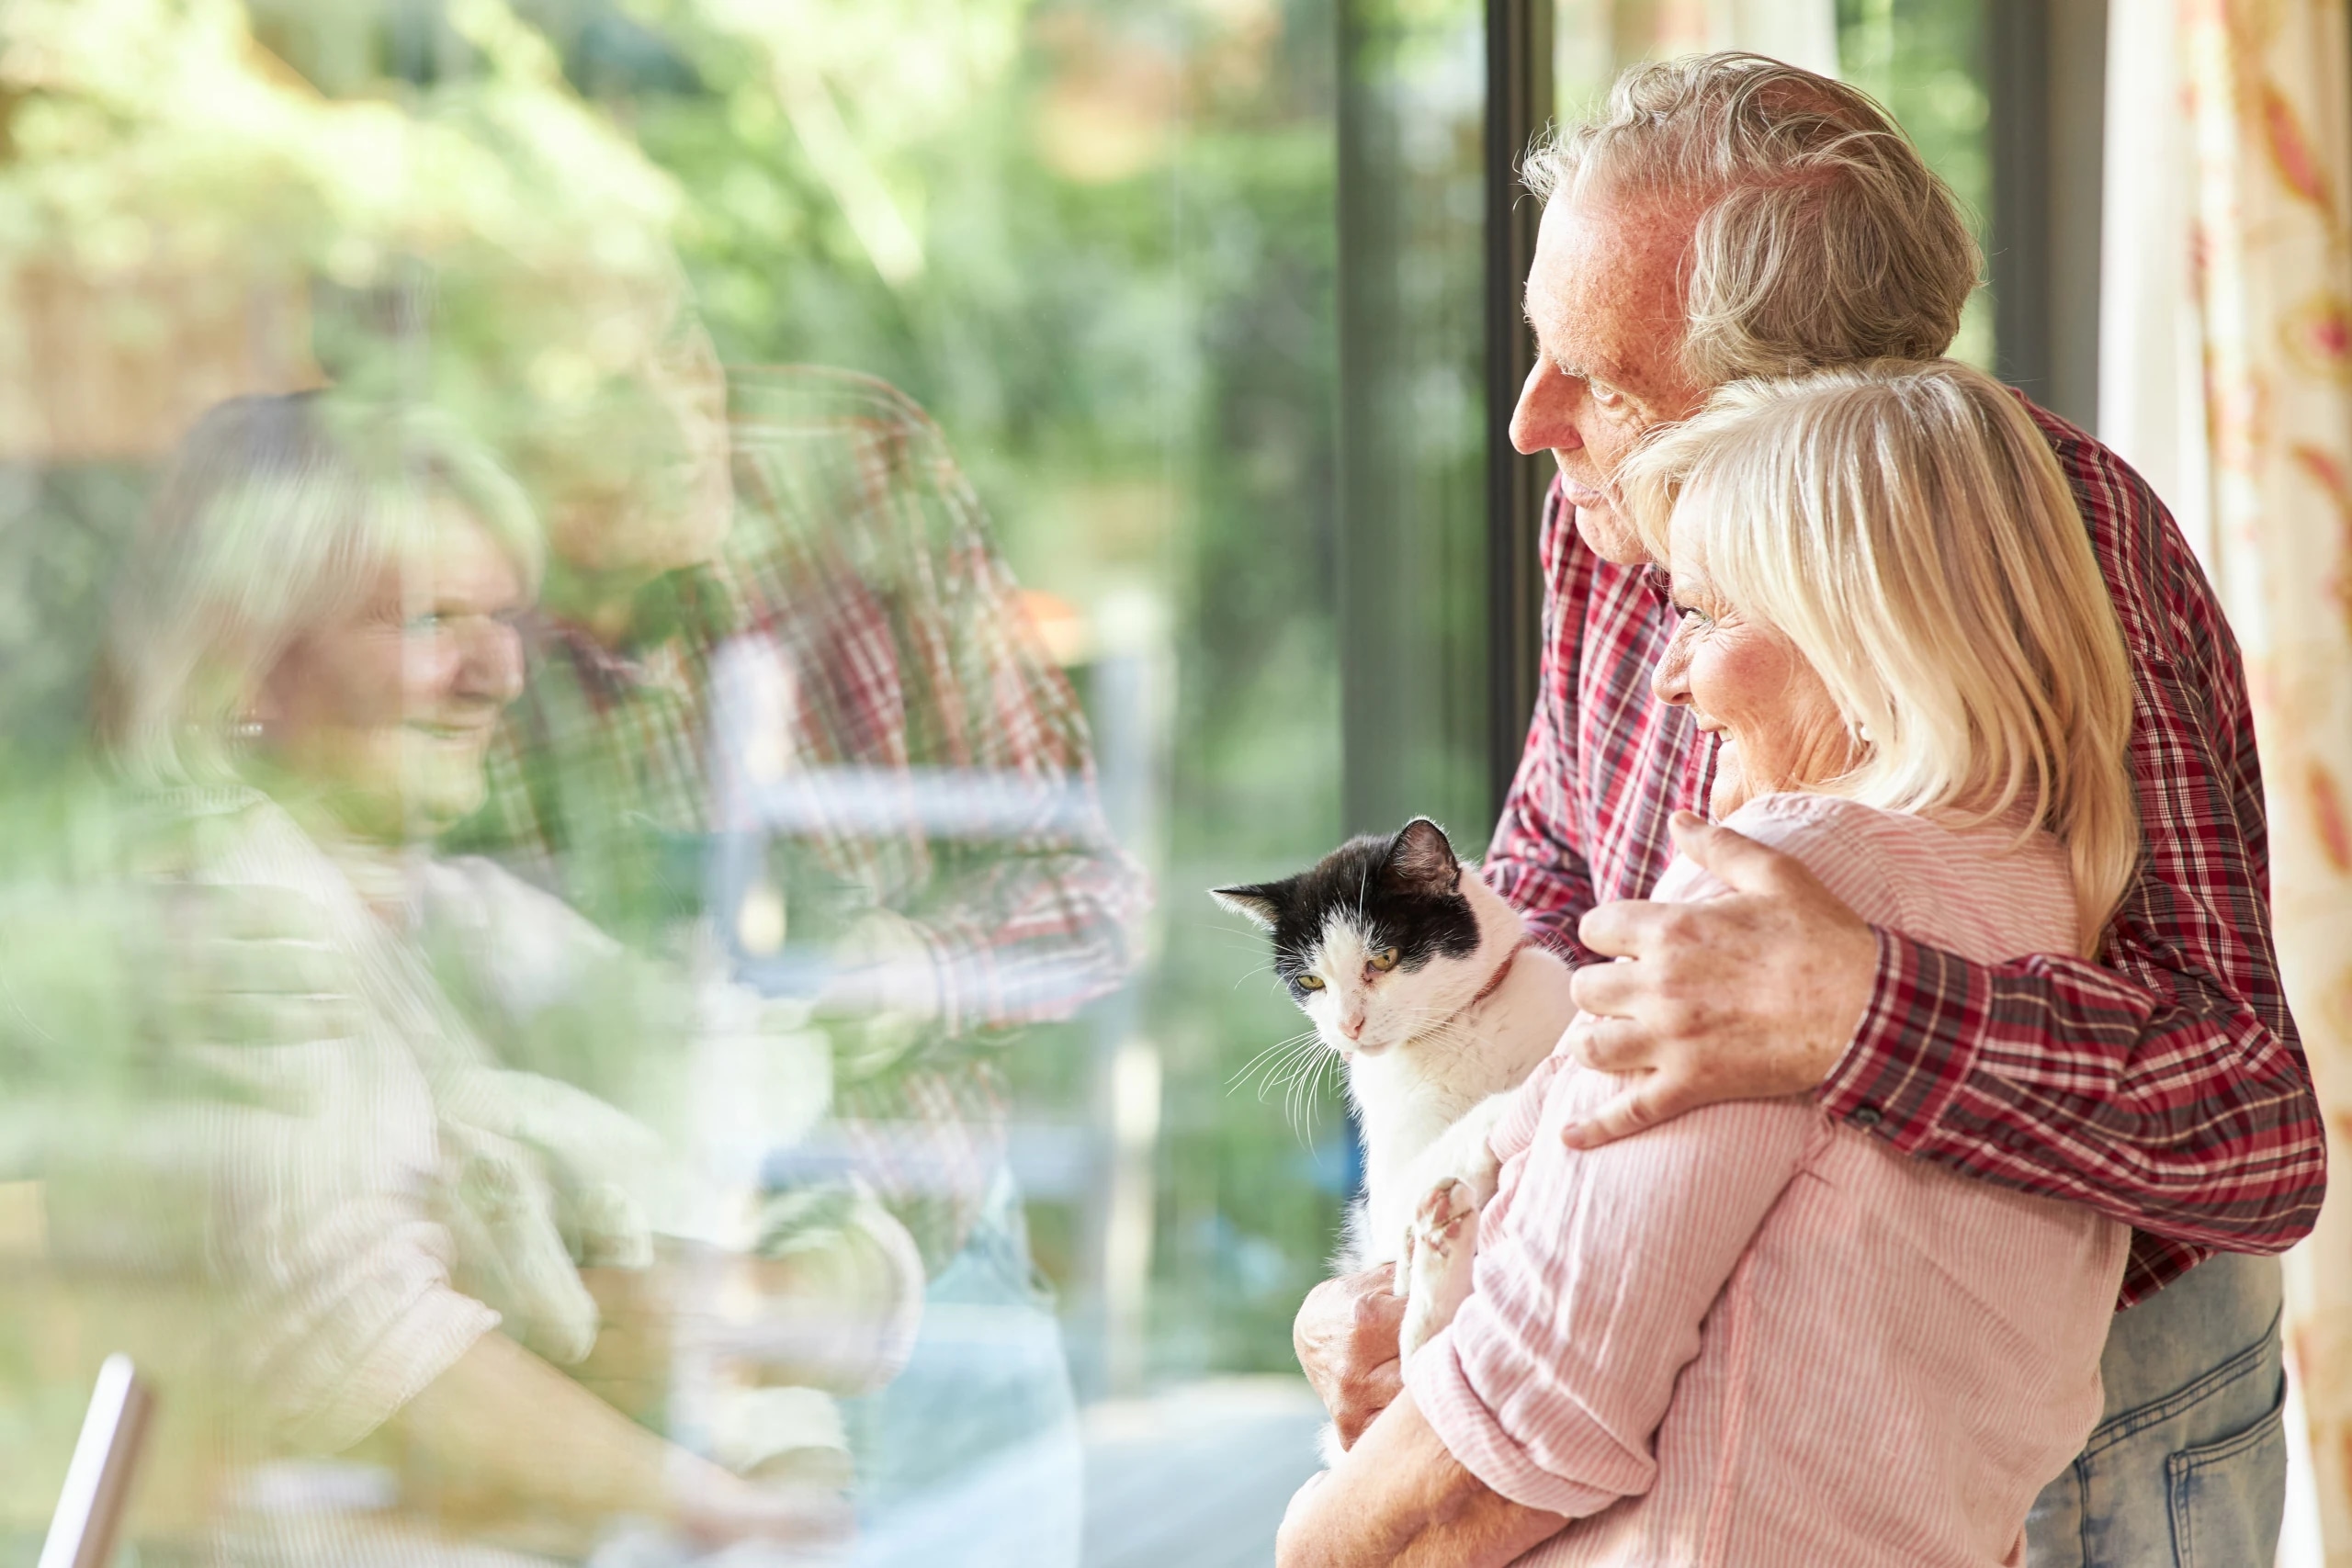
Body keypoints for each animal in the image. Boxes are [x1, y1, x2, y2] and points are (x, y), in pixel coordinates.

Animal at [1213, 822, 1580, 1372]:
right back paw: (1443, 1232)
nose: (1349, 1025)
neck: (1457, 1031)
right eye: (1310, 980)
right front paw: (1524, 1092)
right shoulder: (1382, 1209)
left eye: (1383, 958)